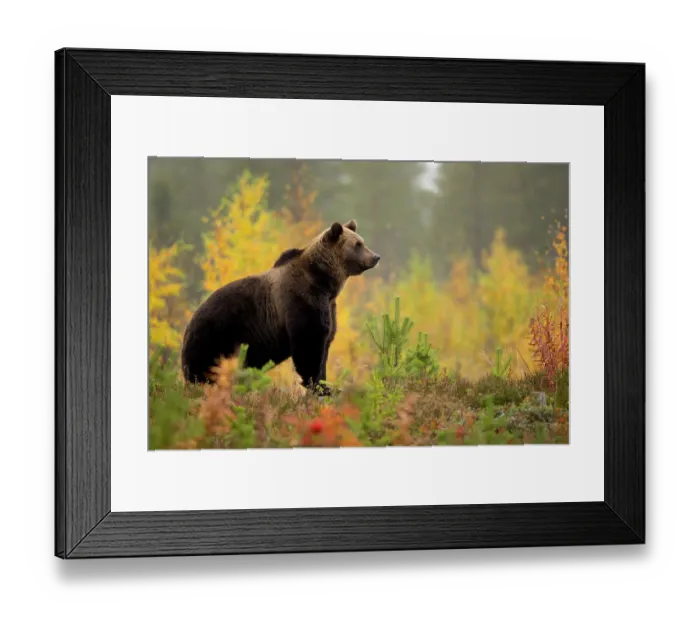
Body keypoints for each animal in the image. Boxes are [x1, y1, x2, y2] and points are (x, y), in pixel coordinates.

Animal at [180, 219, 380, 394]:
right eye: (358, 244)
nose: (375, 256)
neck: (323, 281)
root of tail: (190, 321)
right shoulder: (301, 300)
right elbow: (309, 343)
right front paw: (319, 386)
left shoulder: (328, 306)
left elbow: (324, 344)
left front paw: (325, 384)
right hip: (216, 332)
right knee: (203, 364)